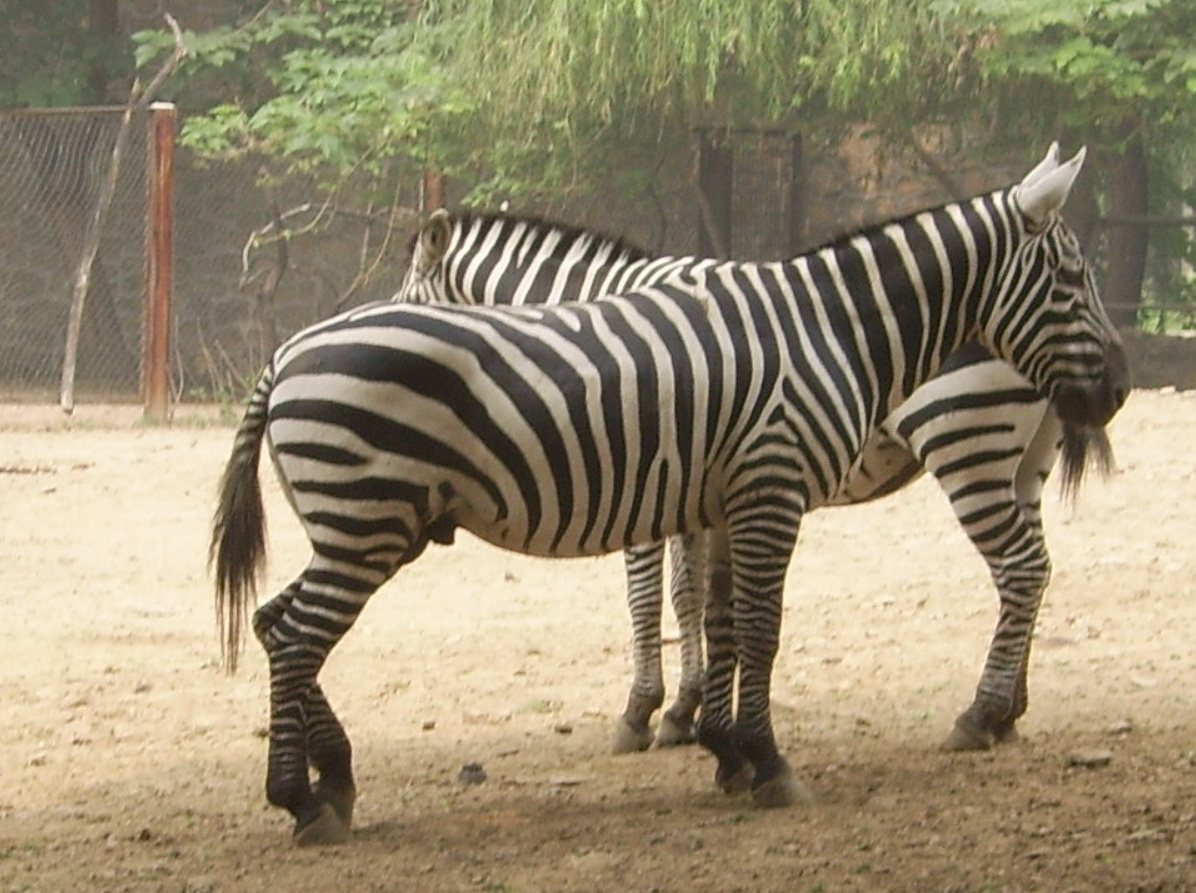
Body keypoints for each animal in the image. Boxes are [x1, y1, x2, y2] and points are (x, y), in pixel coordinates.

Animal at [393, 204, 1116, 756]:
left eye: (404, 301)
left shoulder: (639, 476)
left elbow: (645, 598)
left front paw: (641, 711)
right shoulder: (687, 488)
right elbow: (689, 597)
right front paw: (684, 712)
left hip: (966, 441)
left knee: (1019, 567)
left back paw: (979, 712)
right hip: (1023, 461)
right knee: (1035, 568)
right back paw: (1009, 711)